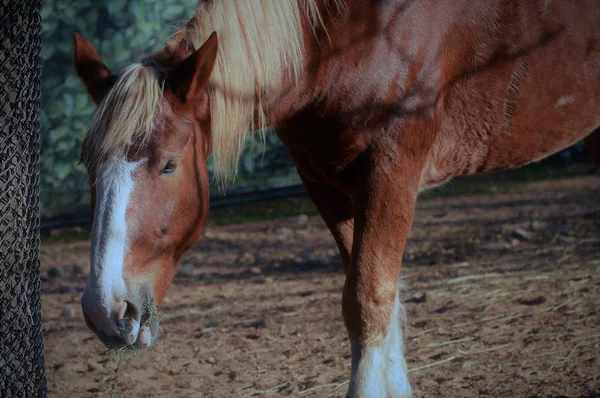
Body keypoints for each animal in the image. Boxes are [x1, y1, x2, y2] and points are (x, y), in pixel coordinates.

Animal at [74, 1, 600, 396]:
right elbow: (374, 298)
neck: (346, 36)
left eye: (168, 164)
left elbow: (368, 300)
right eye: (87, 166)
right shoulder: (327, 184)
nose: (106, 310)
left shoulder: (391, 173)